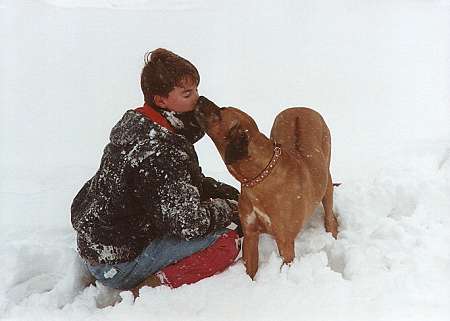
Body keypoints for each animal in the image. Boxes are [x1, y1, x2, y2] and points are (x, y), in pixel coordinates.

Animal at [193, 96, 338, 278]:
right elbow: (250, 270)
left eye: (220, 111)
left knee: (329, 214)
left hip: (326, 178)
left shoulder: (285, 243)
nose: (200, 98)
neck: (258, 178)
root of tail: (299, 107)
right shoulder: (250, 234)